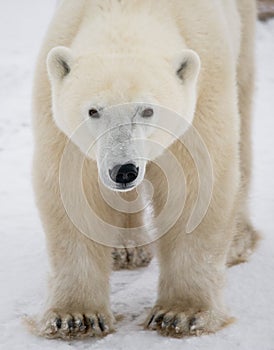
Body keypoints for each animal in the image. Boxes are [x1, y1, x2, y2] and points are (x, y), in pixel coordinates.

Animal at [32, 0, 260, 340]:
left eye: (148, 110)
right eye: (93, 110)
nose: (124, 170)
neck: (131, 9)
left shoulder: (205, 88)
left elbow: (196, 188)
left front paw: (181, 313)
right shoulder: (58, 118)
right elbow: (75, 194)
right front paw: (76, 317)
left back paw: (238, 240)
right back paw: (126, 249)